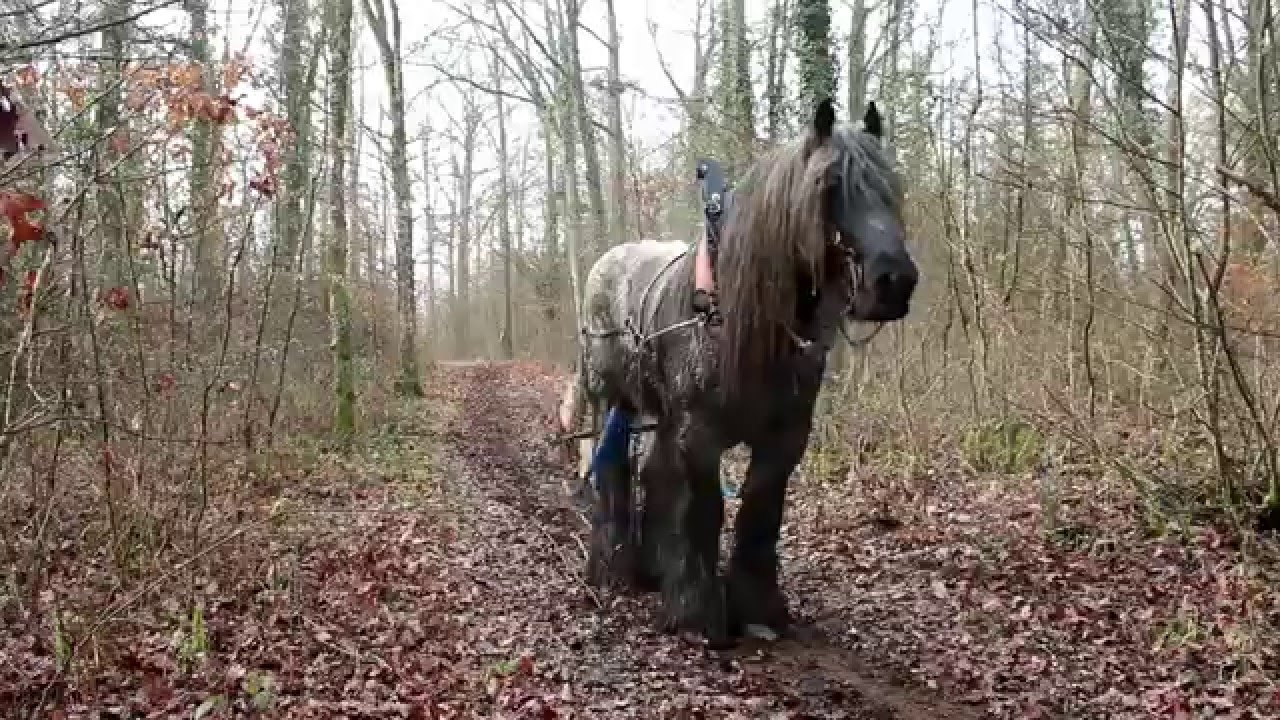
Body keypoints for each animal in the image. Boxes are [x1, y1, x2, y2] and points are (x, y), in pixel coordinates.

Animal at [558, 99, 918, 646]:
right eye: (828, 185)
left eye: (890, 186)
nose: (894, 280)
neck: (738, 319)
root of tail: (608, 261)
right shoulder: (699, 436)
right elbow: (705, 510)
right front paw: (697, 612)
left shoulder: (782, 440)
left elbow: (759, 512)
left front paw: (757, 607)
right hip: (611, 399)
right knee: (615, 469)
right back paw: (615, 566)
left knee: (653, 472)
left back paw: (653, 567)